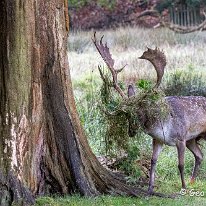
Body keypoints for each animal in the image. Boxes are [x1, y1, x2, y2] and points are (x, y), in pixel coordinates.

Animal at [93, 32, 206, 195]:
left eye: (139, 113)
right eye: (126, 114)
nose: (131, 132)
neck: (164, 127)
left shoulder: (181, 137)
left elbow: (180, 164)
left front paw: (183, 187)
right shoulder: (158, 140)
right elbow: (153, 161)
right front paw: (149, 188)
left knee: (198, 156)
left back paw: (189, 183)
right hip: (193, 139)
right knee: (199, 155)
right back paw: (192, 181)